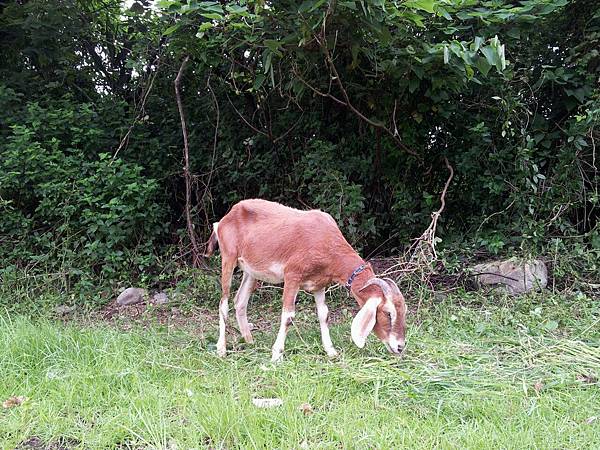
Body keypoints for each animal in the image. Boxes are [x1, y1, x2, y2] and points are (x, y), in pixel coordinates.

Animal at [205, 199, 408, 360]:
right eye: (388, 313)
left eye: (403, 311)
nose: (400, 347)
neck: (326, 241)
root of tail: (223, 220)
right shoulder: (292, 276)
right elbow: (288, 316)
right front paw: (276, 354)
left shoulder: (319, 284)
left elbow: (324, 315)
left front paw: (331, 351)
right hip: (228, 258)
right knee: (223, 303)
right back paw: (222, 349)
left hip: (251, 271)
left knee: (240, 301)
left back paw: (249, 341)